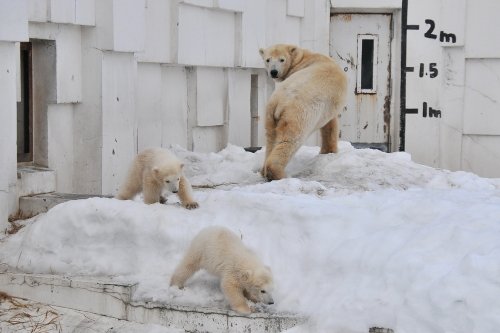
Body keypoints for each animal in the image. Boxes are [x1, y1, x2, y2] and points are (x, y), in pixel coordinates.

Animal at [260, 44, 346, 180]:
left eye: (282, 59)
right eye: (268, 60)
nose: (273, 72)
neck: (304, 58)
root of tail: (279, 102)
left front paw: (328, 151)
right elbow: (330, 125)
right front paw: (328, 151)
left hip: (270, 115)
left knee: (271, 138)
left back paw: (264, 170)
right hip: (298, 114)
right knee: (290, 140)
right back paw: (277, 173)